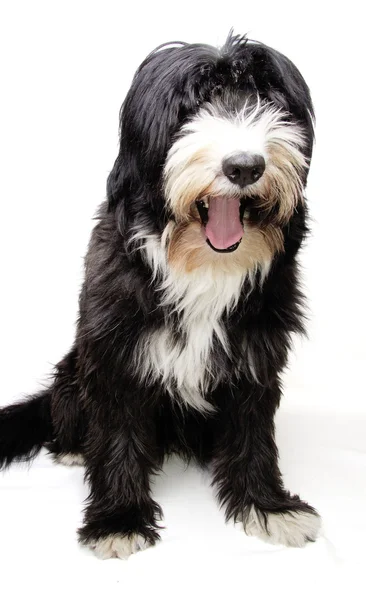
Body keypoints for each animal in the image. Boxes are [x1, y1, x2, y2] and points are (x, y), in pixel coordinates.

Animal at [0, 32, 320, 556]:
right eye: (191, 108)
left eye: (268, 101)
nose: (245, 166)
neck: (202, 267)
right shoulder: (116, 353)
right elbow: (117, 433)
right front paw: (119, 518)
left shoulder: (256, 352)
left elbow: (253, 433)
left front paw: (267, 506)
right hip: (74, 369)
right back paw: (74, 449)